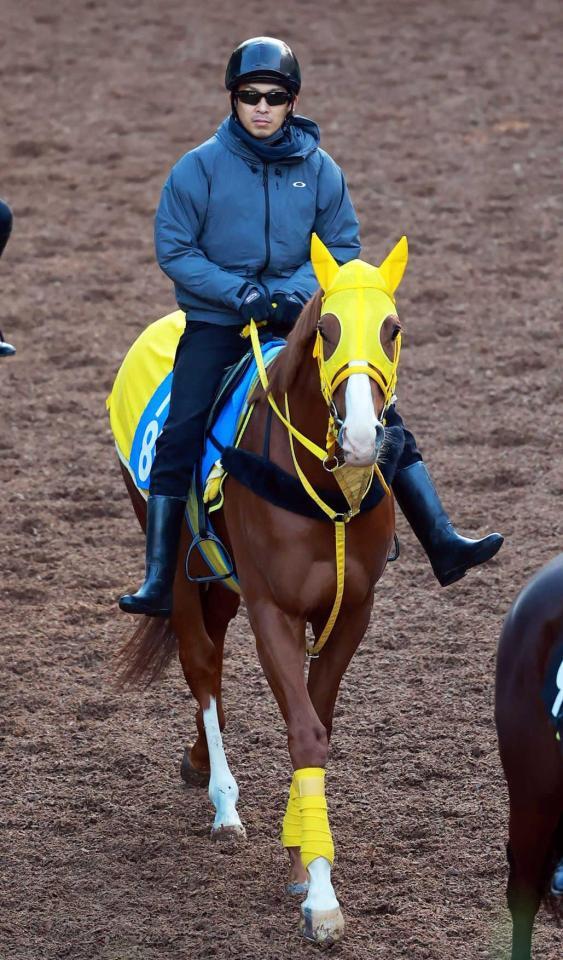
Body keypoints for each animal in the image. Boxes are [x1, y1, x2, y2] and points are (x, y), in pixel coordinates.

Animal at [115, 233, 408, 946]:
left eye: (391, 329)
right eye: (326, 329)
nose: (364, 438)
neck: (323, 489)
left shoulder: (352, 611)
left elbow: (317, 720)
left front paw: (301, 858)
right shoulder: (272, 608)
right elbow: (303, 730)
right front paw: (321, 896)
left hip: (220, 581)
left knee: (212, 656)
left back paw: (198, 763)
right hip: (181, 565)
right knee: (201, 661)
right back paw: (223, 802)